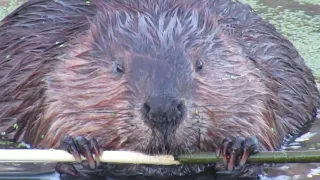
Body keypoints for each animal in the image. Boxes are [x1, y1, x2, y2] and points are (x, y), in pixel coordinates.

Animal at [0, 0, 318, 179]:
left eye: (200, 64)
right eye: (118, 67)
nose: (163, 109)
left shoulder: (257, 67)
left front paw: (239, 149)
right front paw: (80, 147)